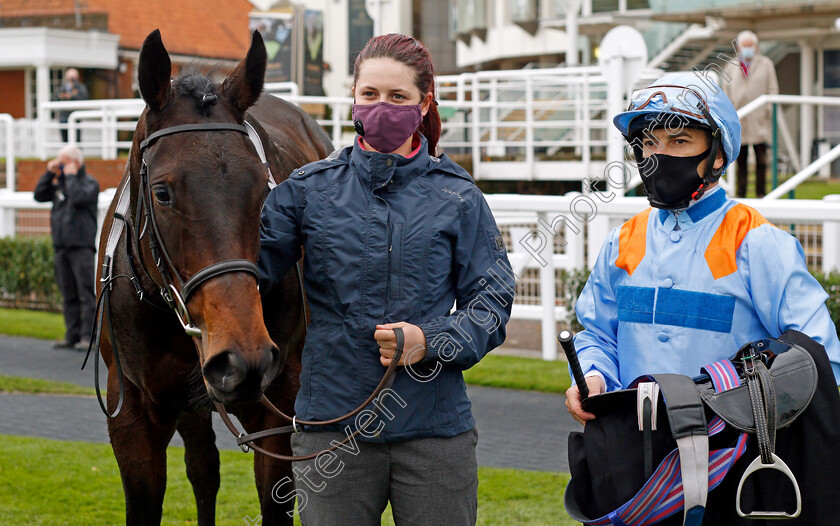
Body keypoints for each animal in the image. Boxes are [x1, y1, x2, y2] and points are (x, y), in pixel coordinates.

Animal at [96, 31, 334, 524]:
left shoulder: (278, 406)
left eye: (264, 189)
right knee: (204, 467)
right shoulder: (132, 413)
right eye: (162, 192)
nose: (242, 358)